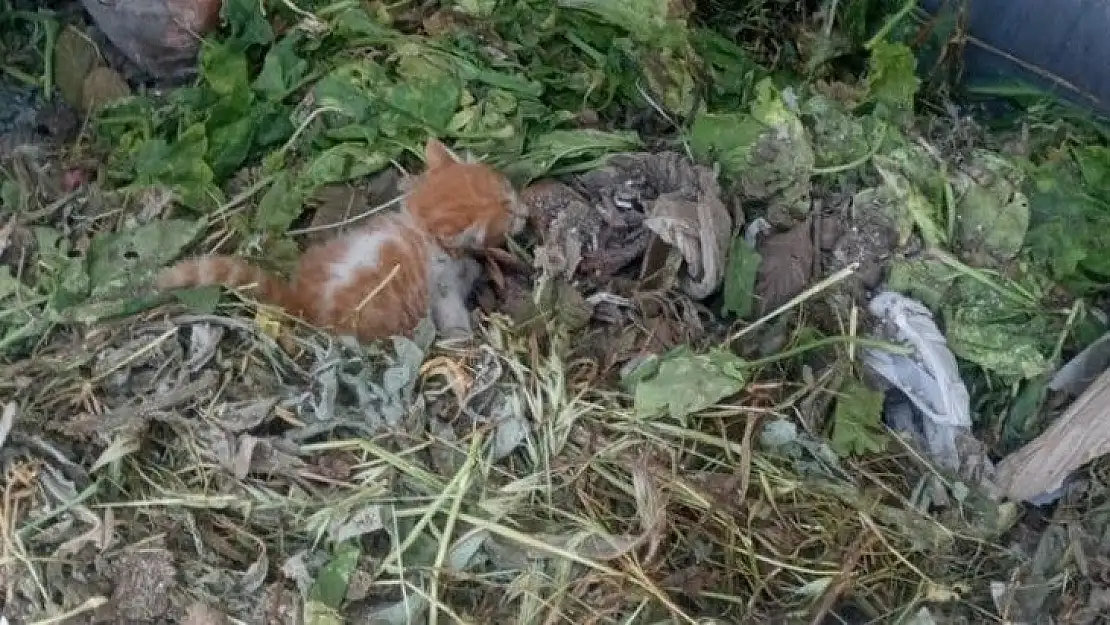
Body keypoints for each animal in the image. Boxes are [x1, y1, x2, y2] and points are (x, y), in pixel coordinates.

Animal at [153, 138, 528, 341]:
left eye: (510, 189)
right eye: (509, 211)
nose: (526, 212)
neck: (419, 226)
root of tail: (300, 299)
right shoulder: (440, 288)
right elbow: (451, 310)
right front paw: (464, 335)